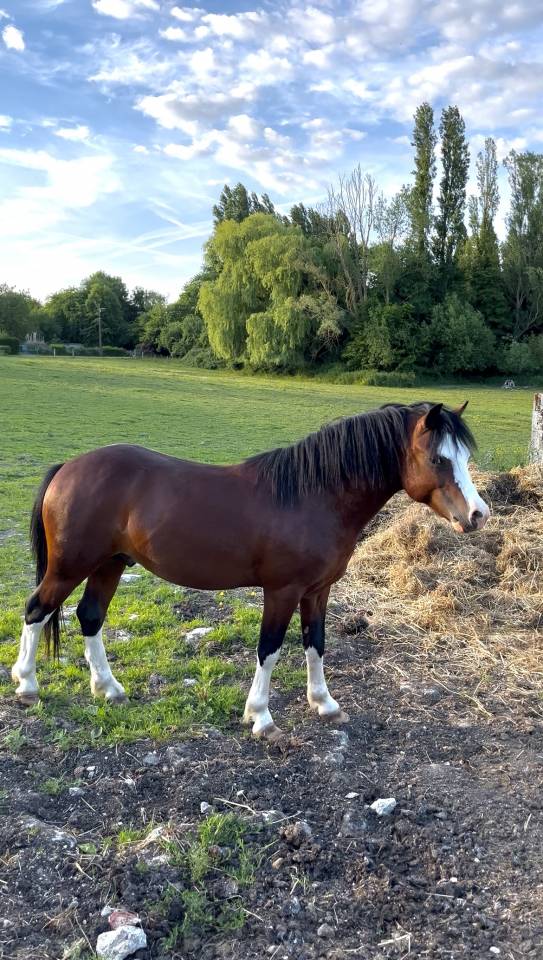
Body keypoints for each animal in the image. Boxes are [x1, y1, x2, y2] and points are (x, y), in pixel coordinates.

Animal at [12, 401, 490, 741]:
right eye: (439, 459)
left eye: (463, 456)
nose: (478, 515)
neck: (313, 495)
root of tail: (68, 467)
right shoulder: (282, 591)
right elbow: (270, 649)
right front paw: (260, 716)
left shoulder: (318, 590)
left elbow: (315, 644)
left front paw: (324, 703)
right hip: (69, 567)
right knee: (36, 610)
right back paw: (27, 685)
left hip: (109, 564)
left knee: (90, 617)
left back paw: (108, 689)